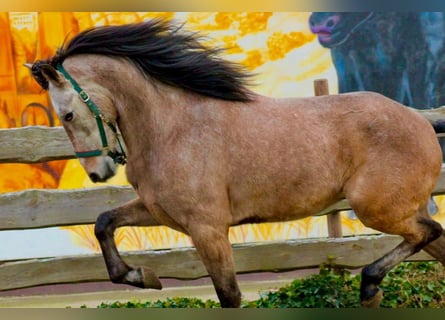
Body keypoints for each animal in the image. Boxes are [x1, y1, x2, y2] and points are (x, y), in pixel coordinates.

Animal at [28, 19, 444, 308]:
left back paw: (370, 285)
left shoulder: (208, 229)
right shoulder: (159, 212)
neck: (172, 128)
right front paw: (142, 276)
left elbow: (228, 295)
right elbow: (103, 223)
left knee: (429, 233)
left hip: (376, 208)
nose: (98, 172)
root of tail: (420, 119)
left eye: (66, 114)